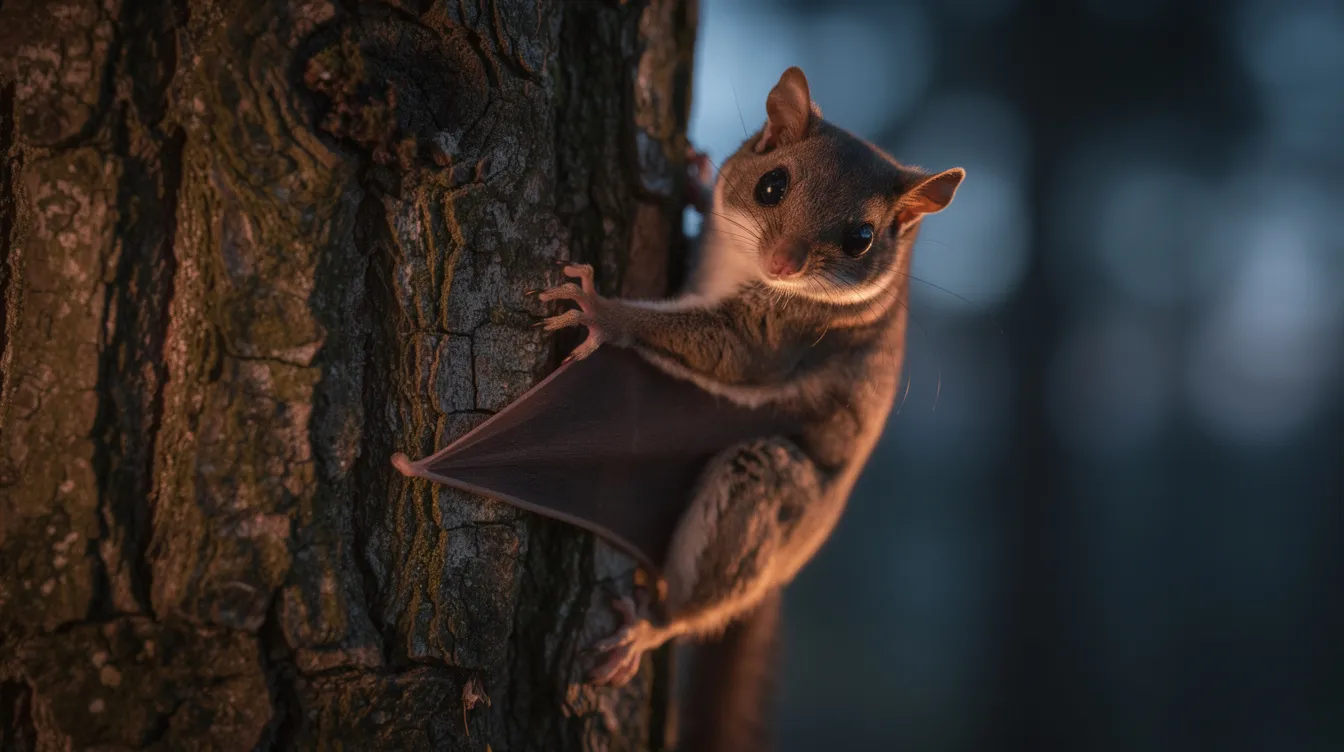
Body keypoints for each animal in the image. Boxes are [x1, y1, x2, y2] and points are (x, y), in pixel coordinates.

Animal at [537, 66, 964, 741]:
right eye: (771, 184)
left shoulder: (783, 336)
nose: (783, 263)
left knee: (700, 602)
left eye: (861, 238)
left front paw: (604, 312)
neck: (743, 264)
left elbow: (730, 354)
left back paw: (647, 629)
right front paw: (695, 176)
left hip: (766, 494)